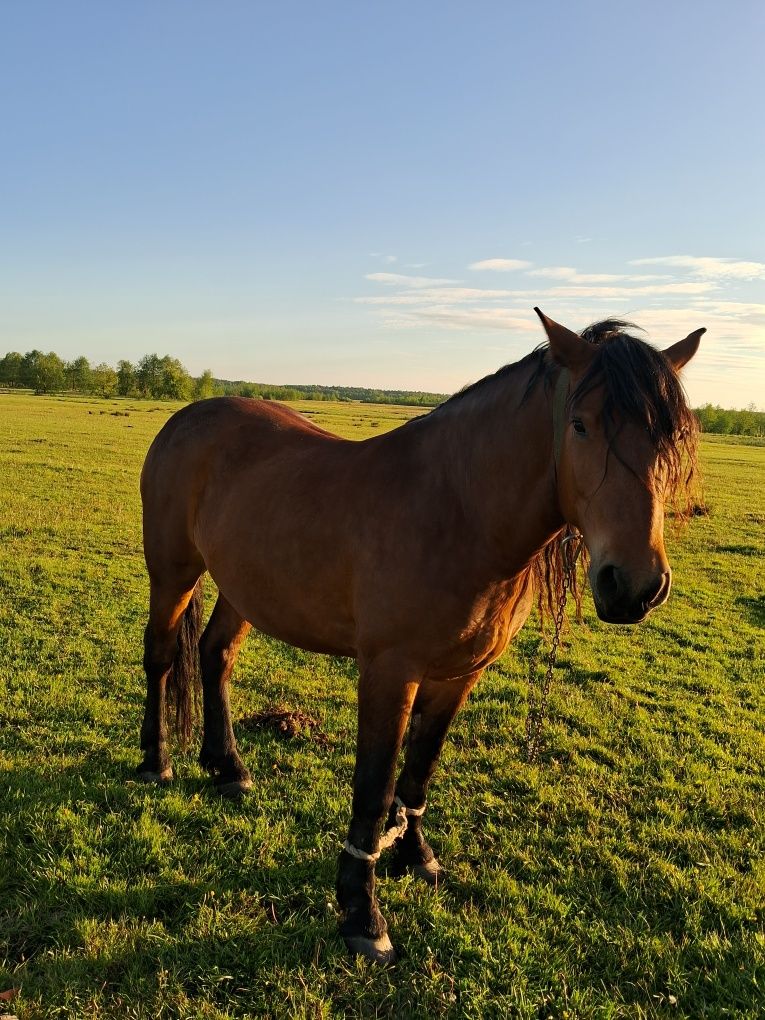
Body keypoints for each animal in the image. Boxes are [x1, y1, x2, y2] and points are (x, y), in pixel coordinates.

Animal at [136, 306, 701, 958]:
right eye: (580, 425)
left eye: (670, 437)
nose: (634, 586)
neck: (458, 511)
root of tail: (188, 416)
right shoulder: (390, 672)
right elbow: (376, 785)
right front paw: (362, 912)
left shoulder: (459, 676)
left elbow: (419, 770)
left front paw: (415, 855)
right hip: (172, 570)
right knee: (160, 656)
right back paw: (155, 762)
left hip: (243, 585)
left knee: (215, 654)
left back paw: (227, 766)